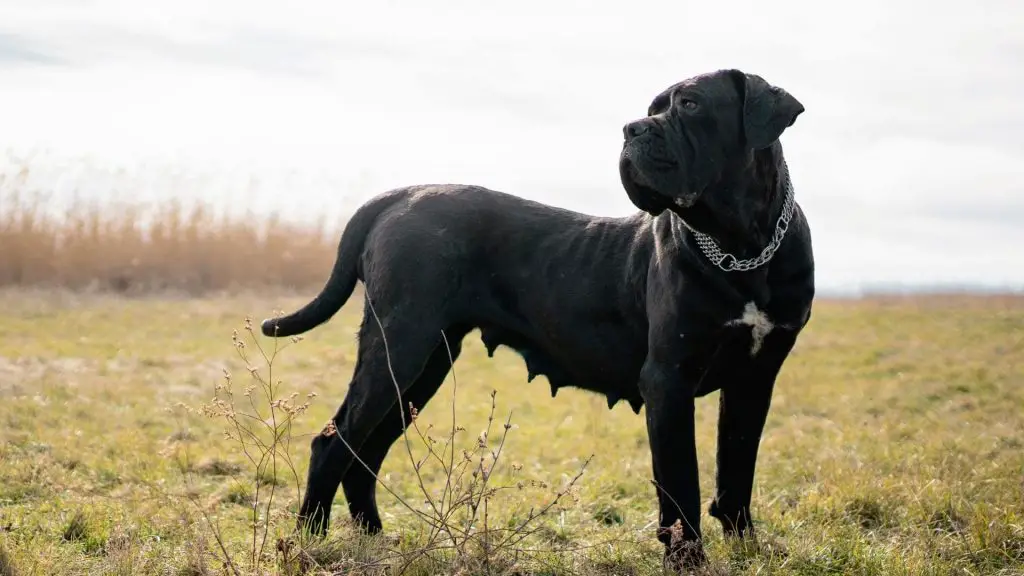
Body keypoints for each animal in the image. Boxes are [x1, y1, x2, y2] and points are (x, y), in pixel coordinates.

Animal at [264, 68, 815, 569]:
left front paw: (747, 550)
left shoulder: (754, 379)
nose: (632, 128)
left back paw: (375, 539)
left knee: (366, 451)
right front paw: (688, 563)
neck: (743, 249)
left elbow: (736, 468)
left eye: (691, 104)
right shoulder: (668, 381)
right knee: (332, 442)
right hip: (399, 348)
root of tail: (400, 195)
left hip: (425, 363)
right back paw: (310, 541)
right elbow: (681, 485)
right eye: (653, 107)